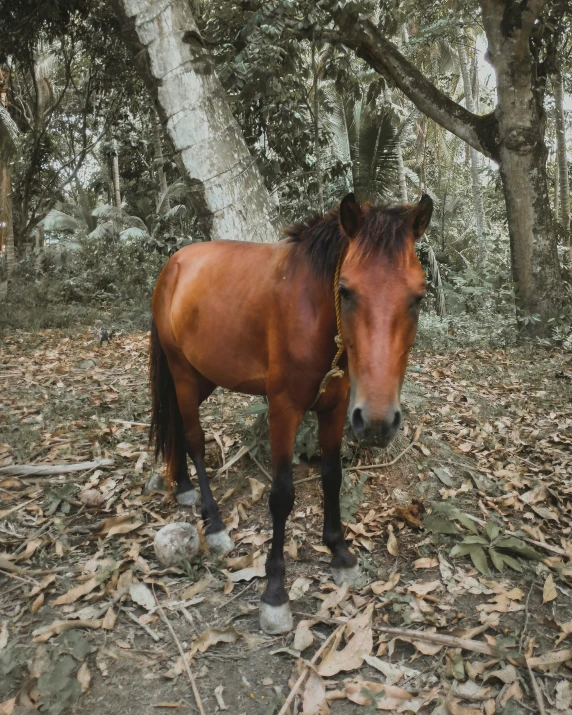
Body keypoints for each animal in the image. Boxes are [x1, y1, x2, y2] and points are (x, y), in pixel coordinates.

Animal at [150, 193, 432, 636]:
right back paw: (213, 523)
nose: (377, 422)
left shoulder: (337, 407)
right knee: (194, 439)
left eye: (418, 297)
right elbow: (282, 496)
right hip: (181, 372)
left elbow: (332, 476)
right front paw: (275, 591)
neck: (314, 314)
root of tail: (174, 264)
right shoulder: (283, 408)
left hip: (202, 374)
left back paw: (181, 485)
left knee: (178, 425)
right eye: (345, 290)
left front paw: (339, 552)